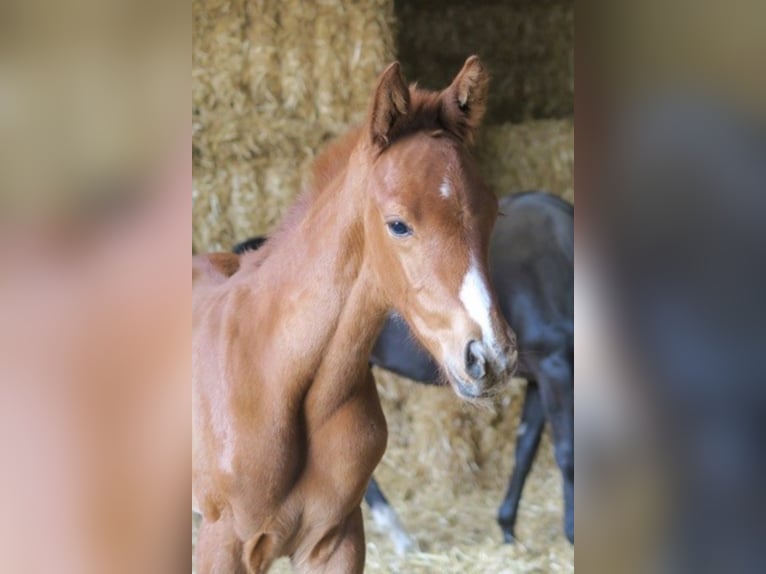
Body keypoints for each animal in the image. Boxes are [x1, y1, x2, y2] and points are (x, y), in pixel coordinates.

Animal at [192, 55, 520, 574]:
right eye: (398, 224)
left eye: (491, 212)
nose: (490, 356)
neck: (277, 374)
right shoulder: (222, 543)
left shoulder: (337, 540)